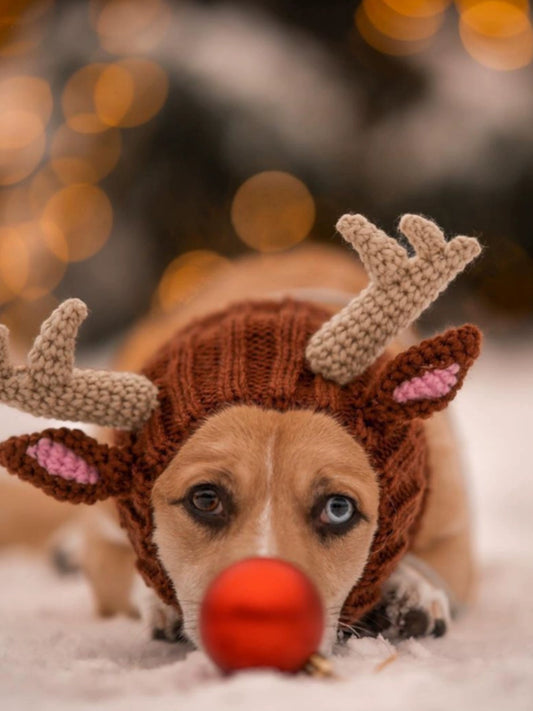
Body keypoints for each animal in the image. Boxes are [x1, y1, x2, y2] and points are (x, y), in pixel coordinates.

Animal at [0, 216, 480, 656]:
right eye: (205, 499)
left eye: (339, 508)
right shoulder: (105, 543)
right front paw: (163, 604)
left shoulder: (455, 535)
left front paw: (410, 590)